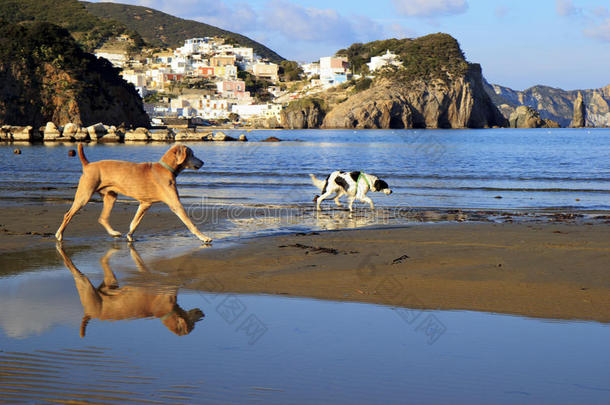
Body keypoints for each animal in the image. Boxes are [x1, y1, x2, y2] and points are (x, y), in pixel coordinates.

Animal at [55, 143, 211, 241]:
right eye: (192, 154)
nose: (203, 162)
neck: (166, 169)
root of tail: (87, 165)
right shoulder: (175, 204)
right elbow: (190, 223)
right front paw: (203, 237)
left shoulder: (145, 203)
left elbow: (134, 222)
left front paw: (129, 235)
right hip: (84, 195)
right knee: (68, 215)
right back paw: (59, 234)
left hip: (111, 196)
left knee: (102, 218)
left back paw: (114, 233)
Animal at [55, 243, 202, 334]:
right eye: (192, 326)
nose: (203, 314)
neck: (165, 312)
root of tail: (89, 313)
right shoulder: (168, 289)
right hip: (85, 284)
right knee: (71, 267)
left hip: (111, 282)